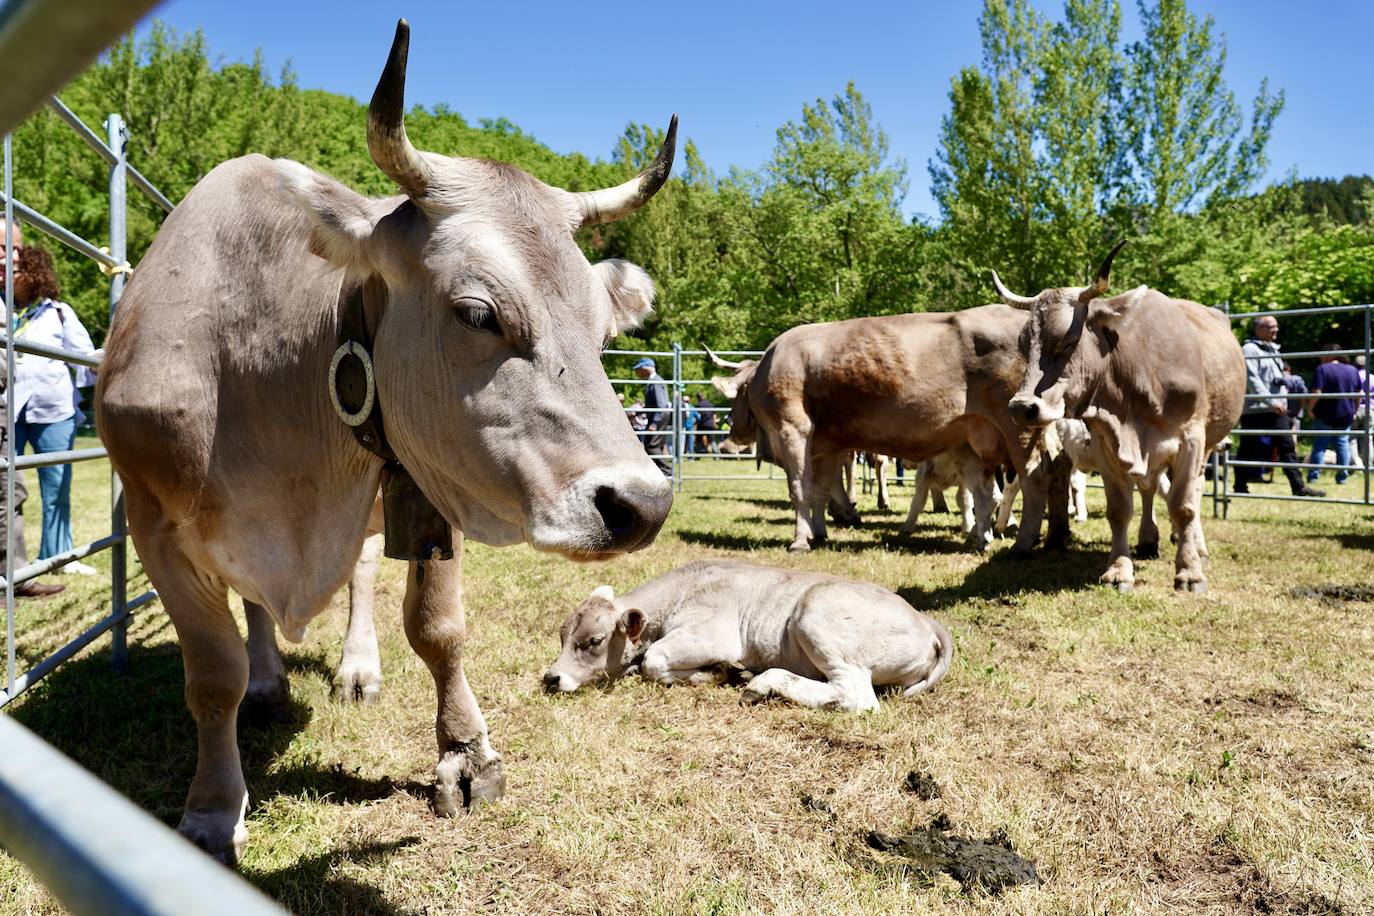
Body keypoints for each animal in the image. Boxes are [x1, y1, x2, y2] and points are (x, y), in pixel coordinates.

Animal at [95, 23, 676, 867]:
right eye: (477, 312)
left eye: (605, 331)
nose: (643, 503)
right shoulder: (154, 525)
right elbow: (212, 673)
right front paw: (211, 808)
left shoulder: (431, 489)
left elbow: (438, 632)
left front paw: (465, 755)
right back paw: (269, 681)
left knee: (363, 576)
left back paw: (357, 669)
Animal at [538, 554, 956, 714]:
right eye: (561, 636)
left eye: (594, 641)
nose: (551, 678)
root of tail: (924, 619)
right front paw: (723, 671)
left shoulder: (710, 635)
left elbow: (652, 662)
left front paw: (720, 671)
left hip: (816, 617)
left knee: (855, 696)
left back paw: (763, 684)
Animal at [708, 307, 1049, 552]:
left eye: (735, 397)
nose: (731, 434)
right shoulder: (825, 445)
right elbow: (821, 489)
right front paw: (820, 532)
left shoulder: (793, 429)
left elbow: (800, 488)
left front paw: (800, 540)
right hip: (980, 435)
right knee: (986, 490)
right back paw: (983, 539)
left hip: (1018, 430)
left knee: (1032, 483)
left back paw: (1023, 542)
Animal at [1000, 240, 1247, 590]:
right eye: (1023, 344)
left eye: (1068, 340)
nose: (1022, 407)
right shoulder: (1106, 441)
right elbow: (1119, 510)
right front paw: (1119, 570)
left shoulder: (1190, 438)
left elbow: (1183, 506)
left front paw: (1189, 571)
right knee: (1148, 489)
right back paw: (1147, 540)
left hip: (1209, 444)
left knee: (1194, 493)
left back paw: (1197, 548)